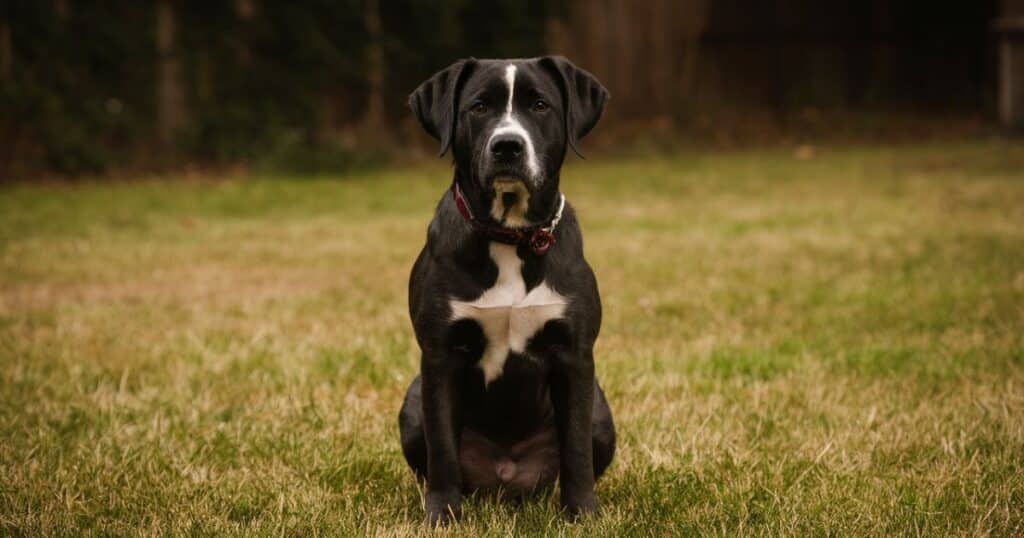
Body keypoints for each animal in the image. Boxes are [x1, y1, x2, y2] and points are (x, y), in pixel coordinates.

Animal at [395, 56, 610, 522]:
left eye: (540, 104)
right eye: (478, 107)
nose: (507, 146)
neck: (510, 237)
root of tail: (506, 479)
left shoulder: (574, 354)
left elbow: (576, 448)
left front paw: (582, 513)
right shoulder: (440, 355)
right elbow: (442, 449)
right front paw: (441, 514)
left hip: (604, 414)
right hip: (412, 404)